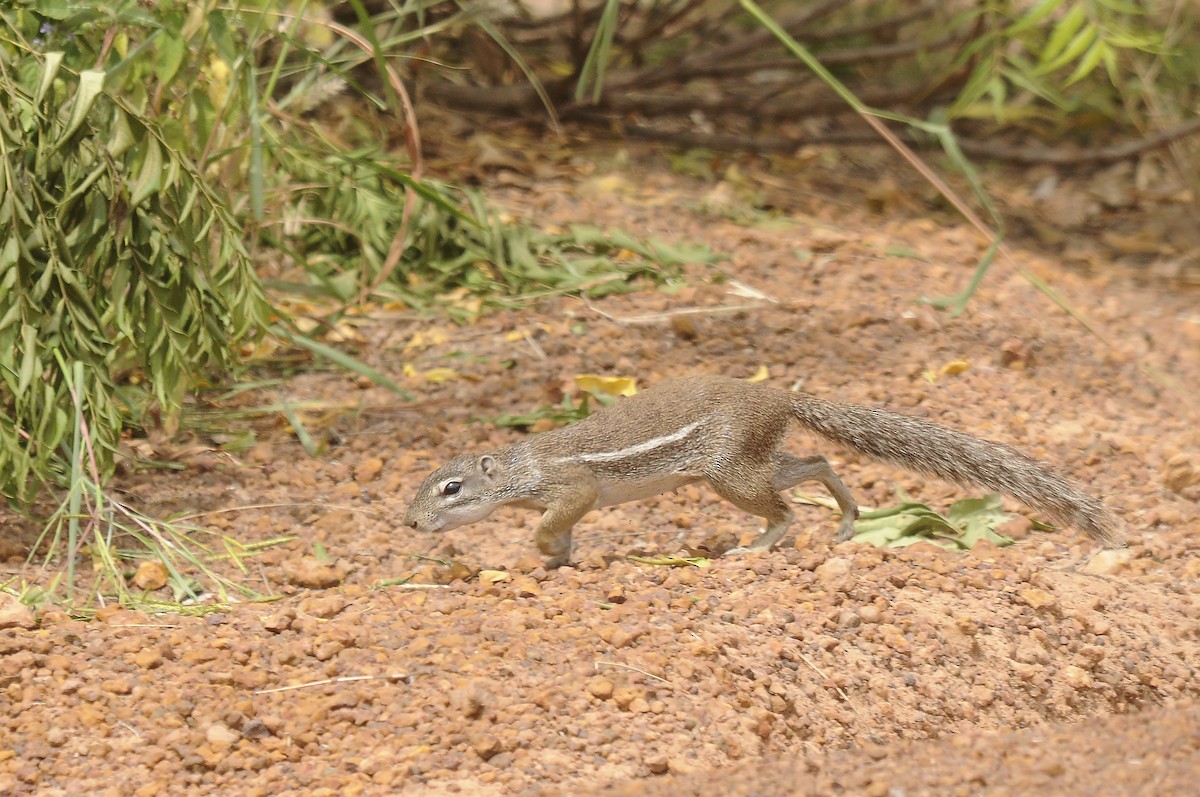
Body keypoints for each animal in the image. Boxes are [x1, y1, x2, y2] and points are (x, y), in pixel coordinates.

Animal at [402, 374, 1124, 567]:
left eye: (451, 488)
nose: (408, 523)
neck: (521, 467)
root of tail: (782, 398)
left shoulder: (573, 487)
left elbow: (552, 522)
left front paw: (541, 552)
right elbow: (563, 535)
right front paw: (558, 561)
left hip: (729, 475)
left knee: (786, 509)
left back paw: (758, 546)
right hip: (754, 462)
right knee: (819, 462)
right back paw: (848, 520)